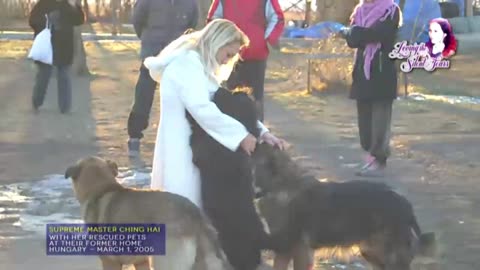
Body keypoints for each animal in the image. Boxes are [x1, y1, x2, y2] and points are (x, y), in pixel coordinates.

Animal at [187, 87, 272, 270]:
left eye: (232, 98)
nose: (220, 88)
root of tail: (260, 234)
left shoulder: (202, 151)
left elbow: (197, 132)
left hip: (236, 248)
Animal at [253, 144, 436, 270]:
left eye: (261, 146)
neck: (282, 184)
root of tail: (405, 203)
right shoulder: (284, 248)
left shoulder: (297, 249)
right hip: (371, 251)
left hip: (388, 255)